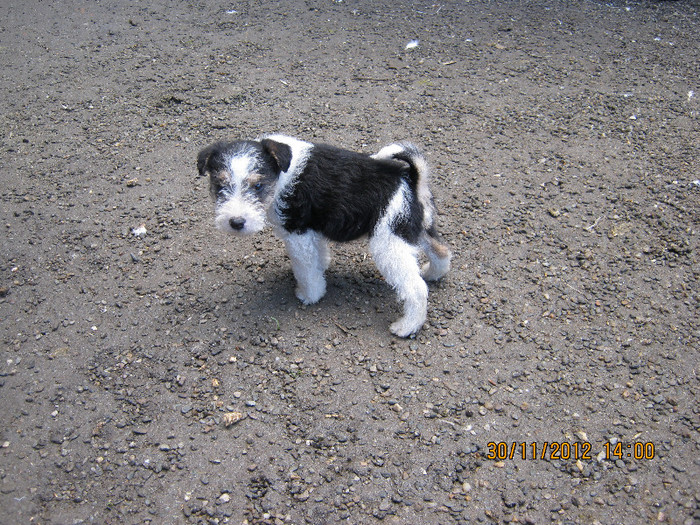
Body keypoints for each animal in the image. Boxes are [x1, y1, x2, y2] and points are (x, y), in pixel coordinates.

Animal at [197, 133, 452, 334]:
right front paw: (323, 269)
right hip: (417, 229)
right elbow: (318, 257)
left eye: (257, 185)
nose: (236, 222)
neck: (282, 174)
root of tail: (411, 179)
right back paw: (433, 273)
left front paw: (310, 295)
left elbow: (306, 272)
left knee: (416, 288)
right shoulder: (312, 230)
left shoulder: (298, 235)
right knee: (442, 252)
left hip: (390, 243)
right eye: (220, 185)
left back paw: (407, 327)